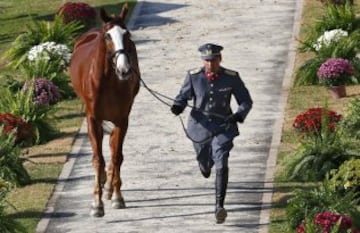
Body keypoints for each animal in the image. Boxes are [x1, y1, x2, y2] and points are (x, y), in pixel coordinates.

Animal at [69, 3, 141, 218]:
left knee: (112, 147)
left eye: (127, 34)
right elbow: (97, 159)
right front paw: (96, 204)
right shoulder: (92, 118)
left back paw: (109, 186)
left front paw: (117, 196)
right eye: (108, 36)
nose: (124, 70)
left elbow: (116, 156)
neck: (109, 80)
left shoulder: (122, 119)